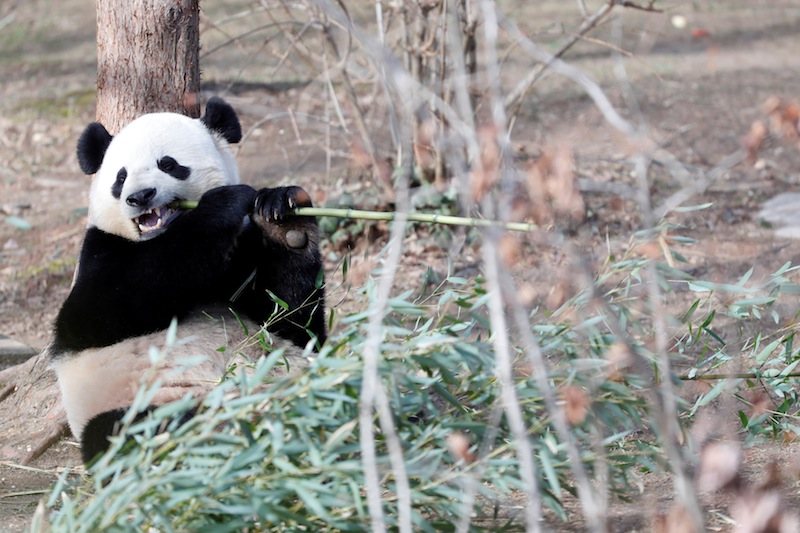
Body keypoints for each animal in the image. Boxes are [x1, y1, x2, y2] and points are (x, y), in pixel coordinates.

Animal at [49, 97, 326, 464]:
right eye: (121, 177)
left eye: (168, 164)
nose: (141, 196)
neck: (156, 237)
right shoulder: (101, 253)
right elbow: (106, 307)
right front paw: (223, 203)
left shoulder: (243, 262)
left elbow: (293, 320)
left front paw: (284, 218)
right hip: (132, 401)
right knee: (129, 432)